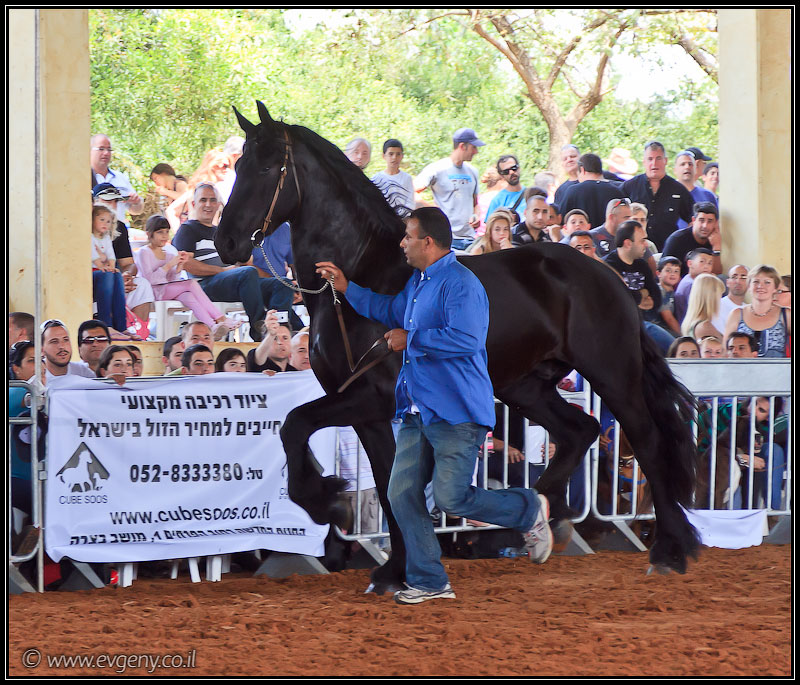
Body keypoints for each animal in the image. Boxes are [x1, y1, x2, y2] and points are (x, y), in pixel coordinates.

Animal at [216, 102, 700, 591]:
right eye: (236, 166)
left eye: (266, 167)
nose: (226, 241)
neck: (361, 275)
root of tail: (610, 276)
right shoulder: (364, 407)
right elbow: (386, 483)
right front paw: (394, 568)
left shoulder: (370, 397)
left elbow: (297, 426)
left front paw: (328, 501)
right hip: (525, 386)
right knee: (580, 430)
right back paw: (540, 517)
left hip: (613, 374)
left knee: (648, 442)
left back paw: (667, 549)